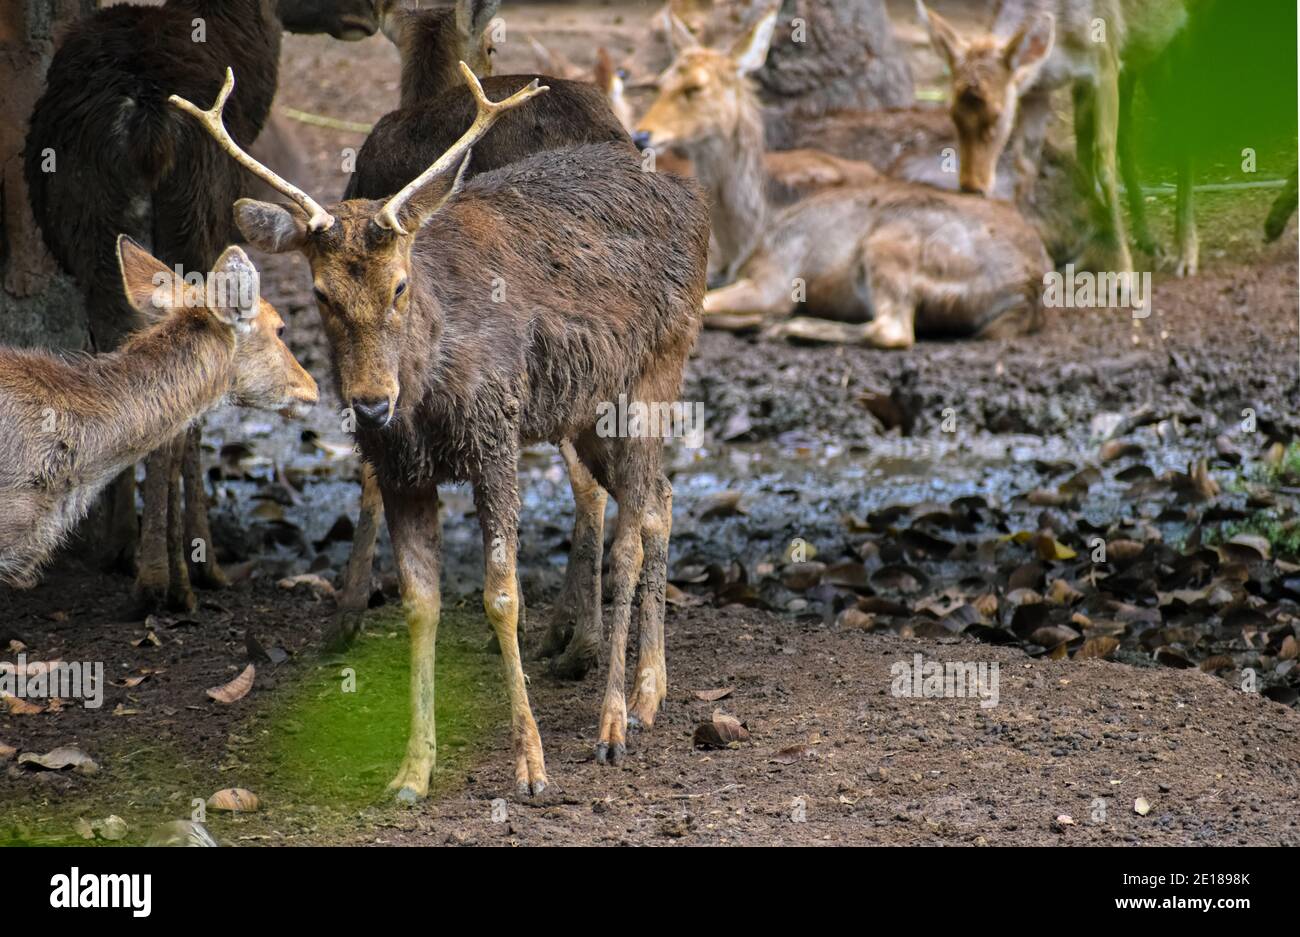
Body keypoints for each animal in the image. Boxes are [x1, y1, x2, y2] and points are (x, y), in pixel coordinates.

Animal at [22, 0, 374, 613]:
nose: (371, 15)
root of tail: (146, 128)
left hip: (93, 228)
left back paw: (134, 556)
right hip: (198, 211)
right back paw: (178, 578)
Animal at [170, 67, 712, 795]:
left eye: (400, 285)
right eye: (320, 294)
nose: (371, 403)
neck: (426, 391)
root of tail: (695, 201)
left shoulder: (496, 433)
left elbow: (502, 595)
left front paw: (531, 767)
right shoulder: (403, 471)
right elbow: (419, 604)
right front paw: (412, 770)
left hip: (656, 371)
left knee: (631, 529)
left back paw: (614, 722)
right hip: (585, 410)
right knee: (659, 499)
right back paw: (651, 691)